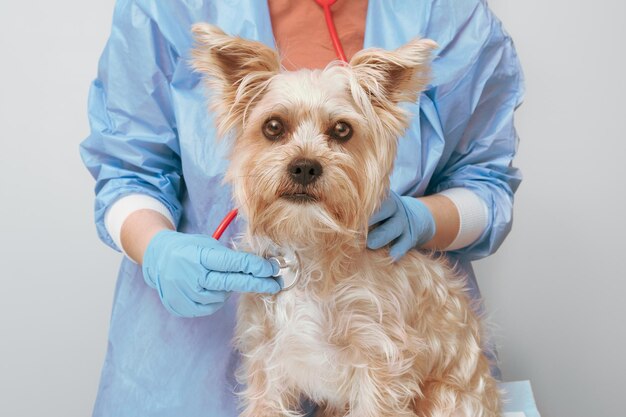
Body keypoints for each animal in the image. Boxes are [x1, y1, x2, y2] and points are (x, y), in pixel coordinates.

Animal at [190, 24, 498, 416]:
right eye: (273, 126)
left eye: (341, 130)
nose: (305, 166)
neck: (308, 242)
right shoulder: (266, 359)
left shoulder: (381, 362)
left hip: (445, 398)